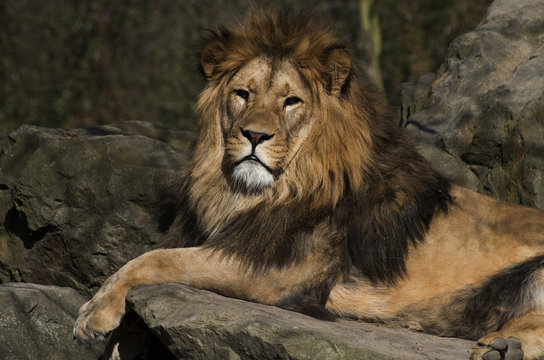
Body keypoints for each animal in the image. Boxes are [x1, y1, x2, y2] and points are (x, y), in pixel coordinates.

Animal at [75, 8, 544, 360]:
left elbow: (155, 260)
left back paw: (503, 347)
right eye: (242, 94)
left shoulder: (275, 269)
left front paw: (93, 314)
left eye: (291, 101)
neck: (245, 193)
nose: (255, 135)